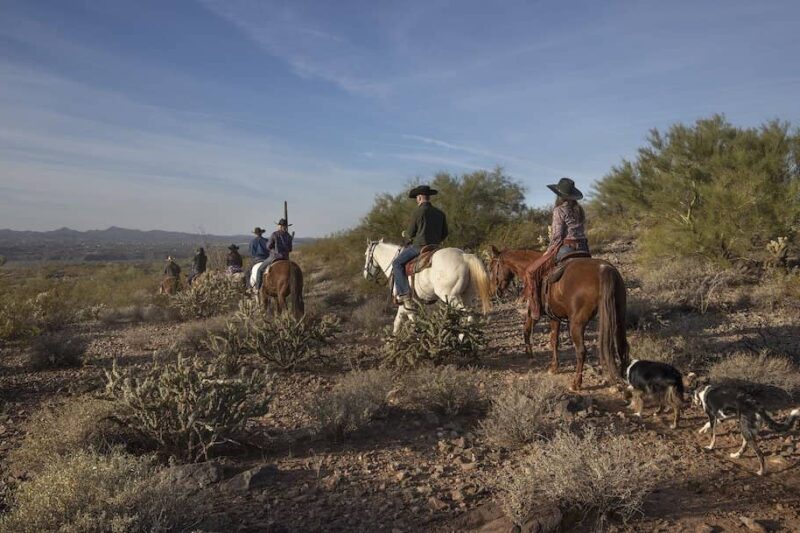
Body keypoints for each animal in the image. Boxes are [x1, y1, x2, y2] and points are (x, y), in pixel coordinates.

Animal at [364, 240, 494, 332]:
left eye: (366, 254)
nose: (365, 274)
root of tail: (464, 257)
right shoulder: (409, 302)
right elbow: (398, 321)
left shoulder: (405, 300)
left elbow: (411, 320)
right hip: (467, 294)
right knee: (470, 315)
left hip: (450, 296)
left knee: (465, 314)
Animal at [484, 246, 628, 390]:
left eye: (491, 268)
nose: (493, 292)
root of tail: (604, 269)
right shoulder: (555, 317)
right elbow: (554, 341)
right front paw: (554, 367)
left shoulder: (533, 312)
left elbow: (526, 330)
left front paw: (530, 356)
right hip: (619, 319)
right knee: (622, 346)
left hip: (576, 324)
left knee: (581, 351)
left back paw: (576, 383)